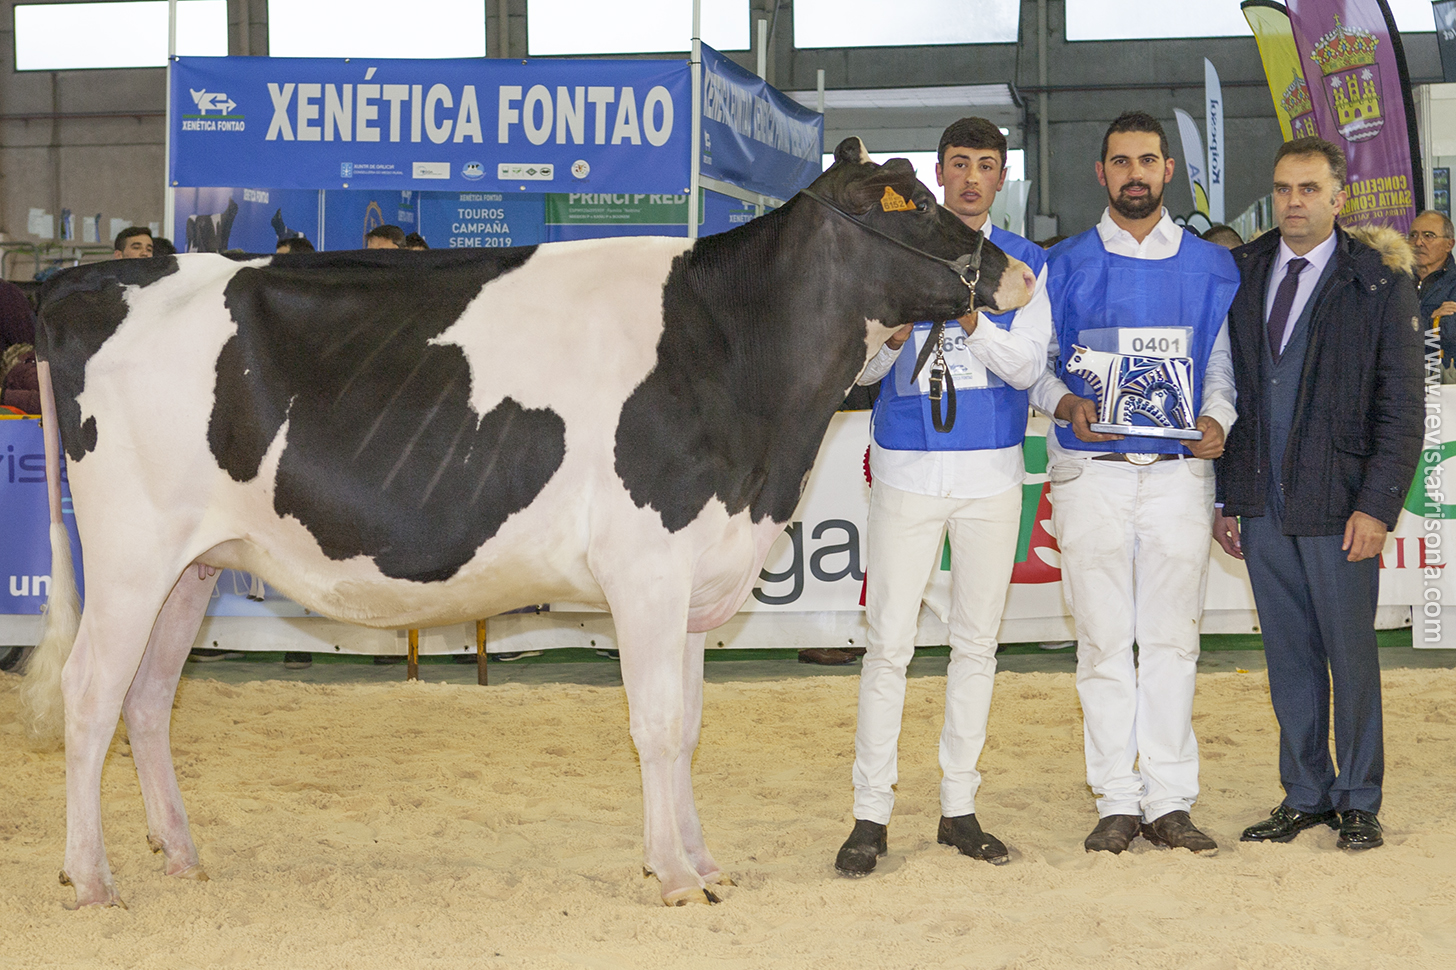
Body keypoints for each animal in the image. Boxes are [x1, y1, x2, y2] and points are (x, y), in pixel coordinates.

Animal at [19, 137, 1025, 908]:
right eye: (906, 203)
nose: (1014, 269)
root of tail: (82, 281)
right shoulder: (645, 569)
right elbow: (657, 724)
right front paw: (672, 877)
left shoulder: (693, 578)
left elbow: (689, 725)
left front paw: (702, 863)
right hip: (129, 559)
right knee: (89, 693)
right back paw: (90, 879)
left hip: (190, 567)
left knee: (148, 699)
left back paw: (180, 855)